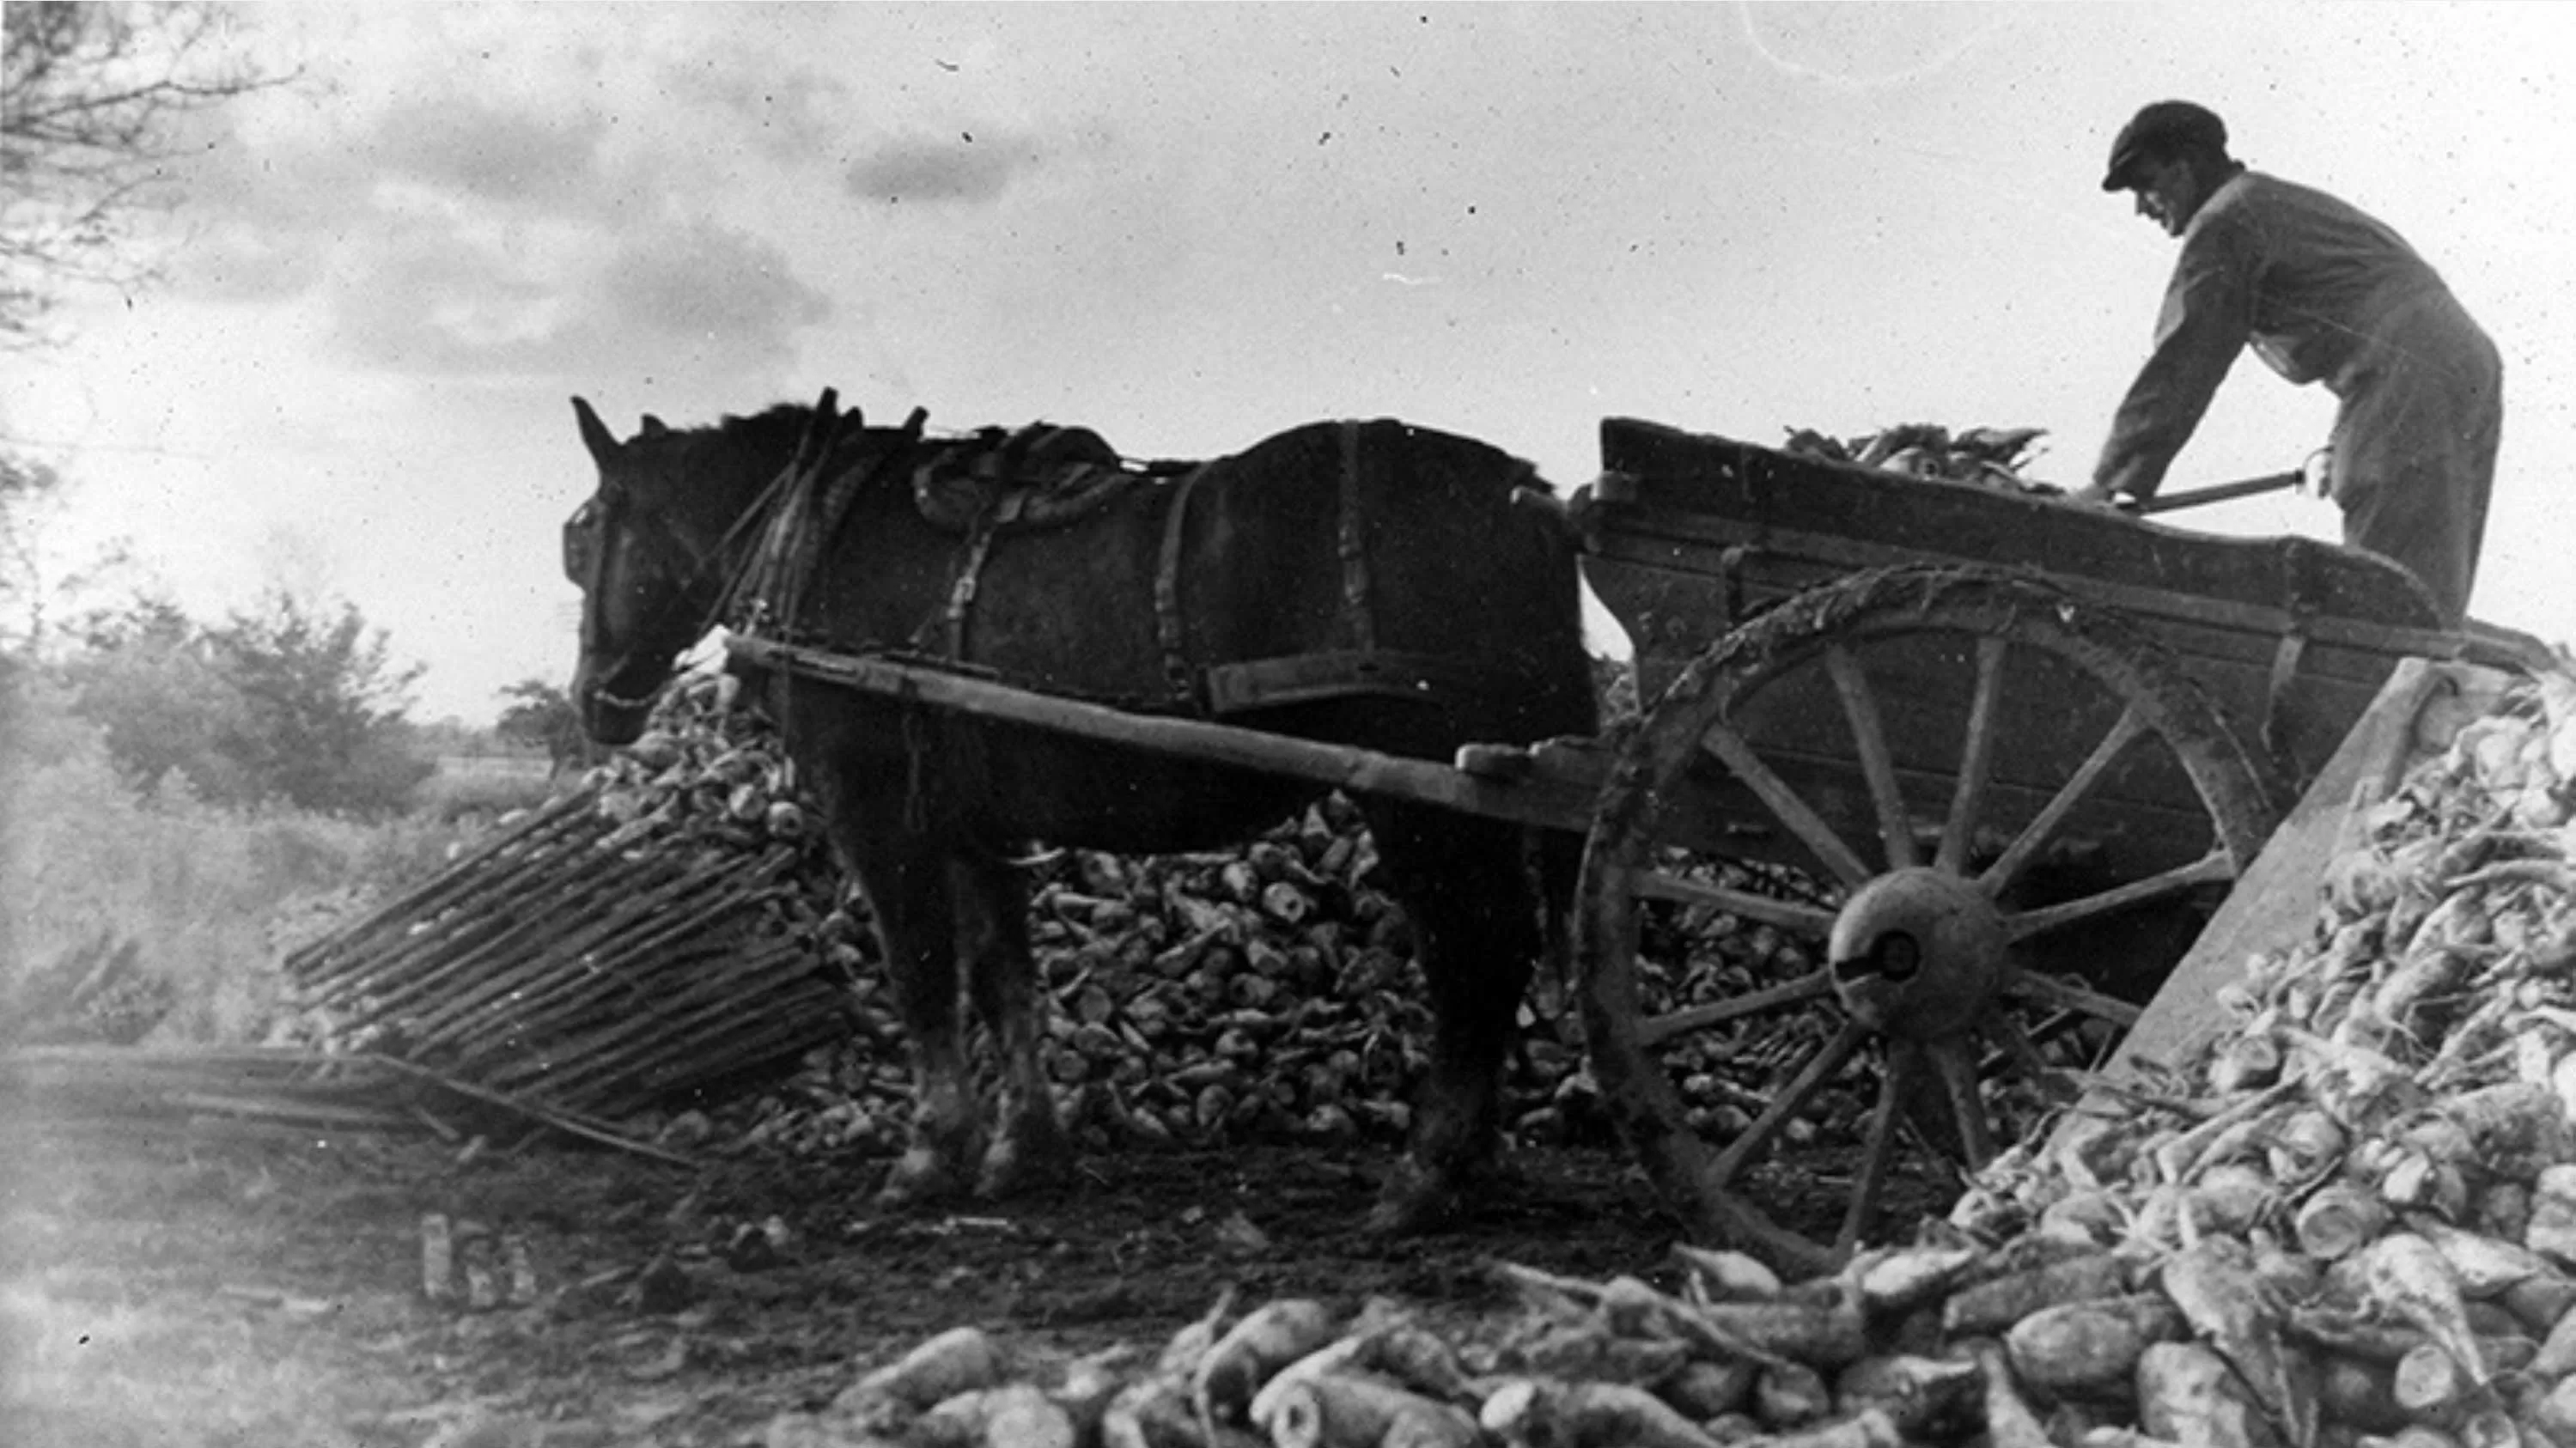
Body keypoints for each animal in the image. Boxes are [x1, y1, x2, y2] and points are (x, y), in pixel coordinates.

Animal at [566, 394, 1597, 1226]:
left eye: (582, 540)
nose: (592, 703)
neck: (818, 530)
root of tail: (1522, 493)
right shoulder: (971, 824)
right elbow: (1001, 977)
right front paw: (1023, 1151)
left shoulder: (876, 812)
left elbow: (921, 976)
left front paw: (929, 1152)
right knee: (1497, 953)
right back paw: (1472, 1164)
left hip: (1421, 797)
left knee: (1473, 955)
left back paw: (1425, 1176)